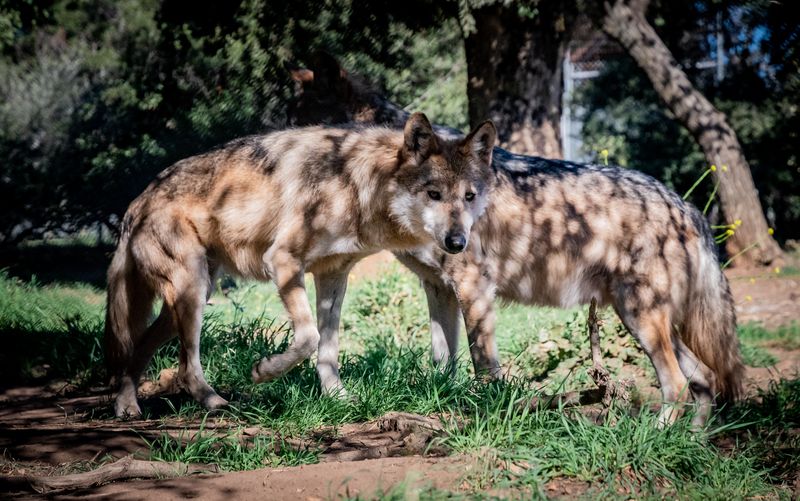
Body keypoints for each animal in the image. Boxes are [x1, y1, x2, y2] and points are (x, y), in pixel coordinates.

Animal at [104, 112, 497, 417]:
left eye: (469, 196)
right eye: (434, 194)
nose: (457, 243)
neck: (355, 185)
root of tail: (135, 204)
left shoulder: (333, 275)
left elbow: (328, 348)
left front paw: (337, 397)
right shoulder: (283, 261)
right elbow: (309, 338)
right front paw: (264, 371)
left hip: (190, 300)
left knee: (139, 347)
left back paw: (127, 406)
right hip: (192, 293)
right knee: (185, 365)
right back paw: (215, 403)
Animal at [289, 55, 744, 426]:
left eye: (307, 124)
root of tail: (685, 206)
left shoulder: (474, 289)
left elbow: (484, 368)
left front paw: (485, 416)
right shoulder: (439, 288)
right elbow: (443, 364)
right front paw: (442, 407)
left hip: (641, 318)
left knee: (678, 386)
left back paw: (652, 437)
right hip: (644, 319)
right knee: (703, 378)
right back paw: (692, 442)